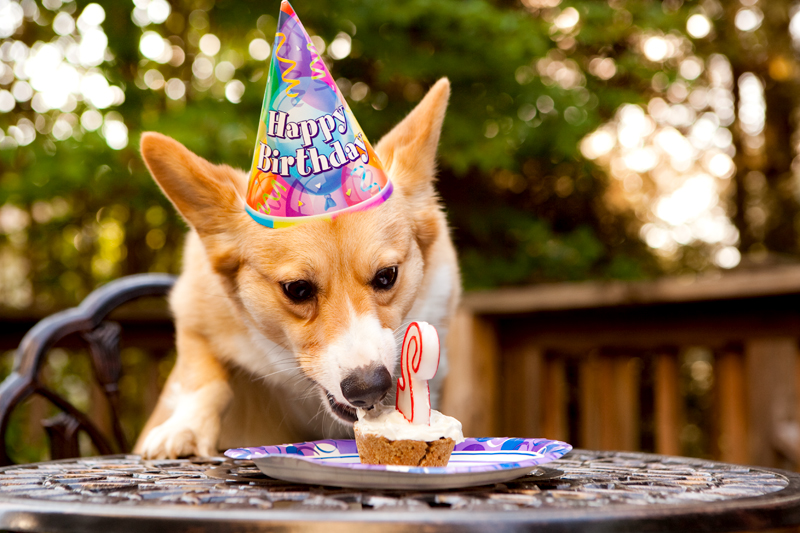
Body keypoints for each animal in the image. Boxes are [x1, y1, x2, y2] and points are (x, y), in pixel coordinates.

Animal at [134, 78, 460, 458]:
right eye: (297, 289)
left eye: (387, 276)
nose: (368, 389)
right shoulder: (194, 313)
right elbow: (204, 377)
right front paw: (183, 429)